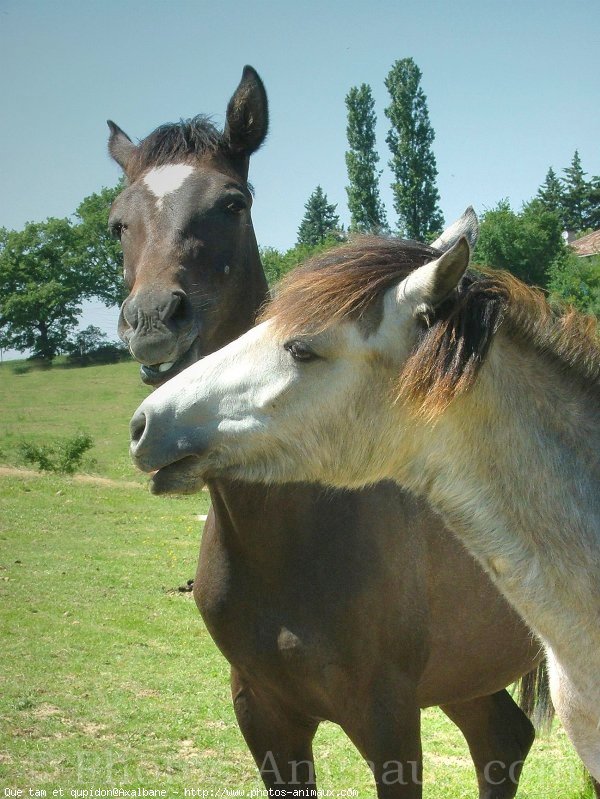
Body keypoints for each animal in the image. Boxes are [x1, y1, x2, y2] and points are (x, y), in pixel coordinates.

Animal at [108, 65, 548, 796]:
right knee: (504, 740)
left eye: (232, 203)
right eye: (118, 222)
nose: (153, 321)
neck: (293, 529)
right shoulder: (265, 715)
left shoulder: (388, 716)